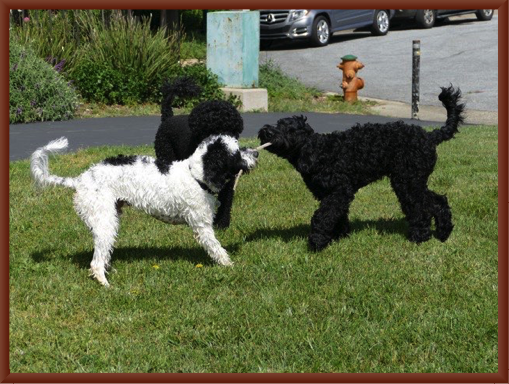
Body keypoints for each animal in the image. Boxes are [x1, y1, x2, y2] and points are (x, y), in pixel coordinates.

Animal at [30, 134, 258, 284]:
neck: (196, 174)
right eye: (237, 152)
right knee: (95, 263)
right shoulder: (202, 227)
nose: (256, 152)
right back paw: (105, 284)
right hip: (105, 223)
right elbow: (217, 249)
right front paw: (230, 266)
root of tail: (79, 180)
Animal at [153, 76, 244, 230]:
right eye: (208, 129)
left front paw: (222, 223)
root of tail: (168, 118)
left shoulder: (228, 181)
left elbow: (226, 199)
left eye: (229, 128)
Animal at [258, 85, 464, 250]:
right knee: (438, 201)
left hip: (407, 182)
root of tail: (430, 136)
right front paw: (339, 236)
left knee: (420, 209)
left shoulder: (340, 191)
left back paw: (420, 236)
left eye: (289, 130)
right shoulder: (333, 194)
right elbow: (338, 216)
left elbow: (322, 216)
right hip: (414, 181)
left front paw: (317, 242)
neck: (319, 152)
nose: (265, 130)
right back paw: (443, 232)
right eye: (279, 123)